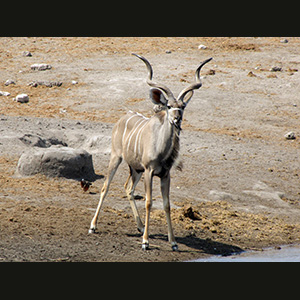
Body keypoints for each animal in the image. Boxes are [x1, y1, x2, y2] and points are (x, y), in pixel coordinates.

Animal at [88, 54, 212, 251]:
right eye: (168, 106)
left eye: (183, 106)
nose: (177, 118)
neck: (162, 150)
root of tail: (122, 118)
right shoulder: (149, 171)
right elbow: (148, 202)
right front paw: (145, 242)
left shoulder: (165, 174)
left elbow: (167, 204)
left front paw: (173, 242)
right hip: (117, 158)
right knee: (105, 187)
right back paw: (93, 226)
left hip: (136, 169)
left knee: (128, 189)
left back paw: (139, 226)